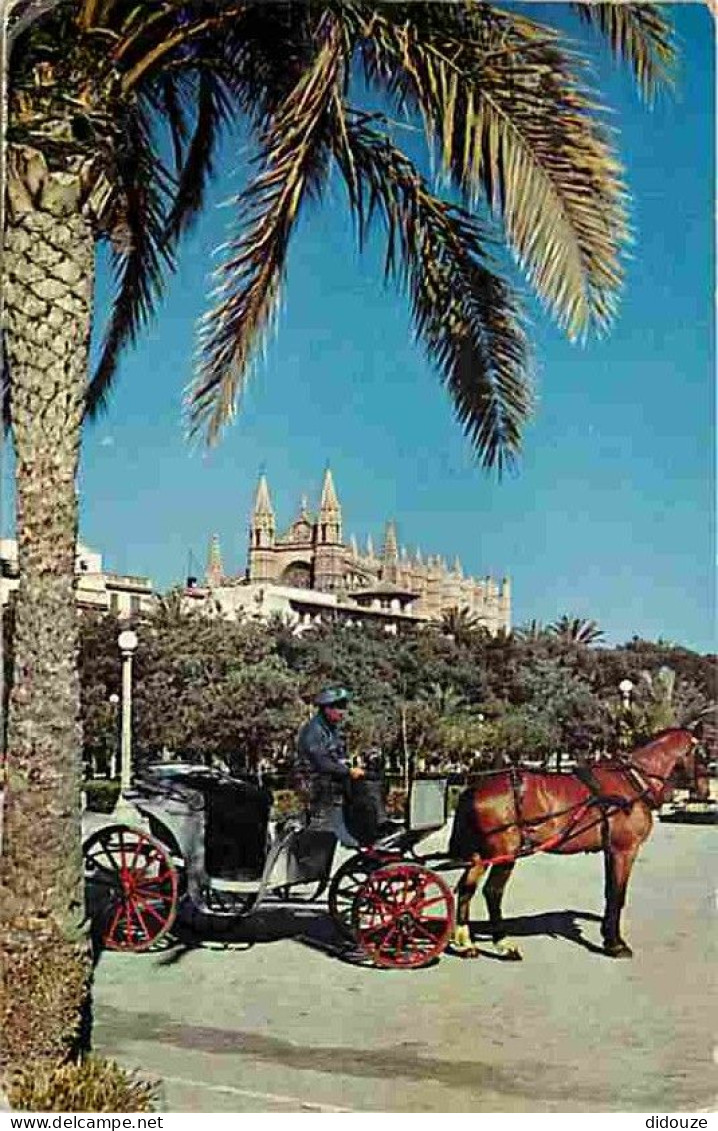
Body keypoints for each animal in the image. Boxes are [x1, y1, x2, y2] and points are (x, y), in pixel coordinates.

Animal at [450, 728, 710, 959]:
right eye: (704, 754)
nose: (705, 791)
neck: (633, 782)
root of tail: (475, 787)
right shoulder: (624, 851)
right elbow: (618, 894)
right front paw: (615, 944)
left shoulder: (610, 851)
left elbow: (609, 892)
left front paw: (608, 936)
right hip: (506, 853)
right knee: (492, 892)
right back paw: (504, 945)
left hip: (481, 855)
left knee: (466, 888)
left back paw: (465, 943)